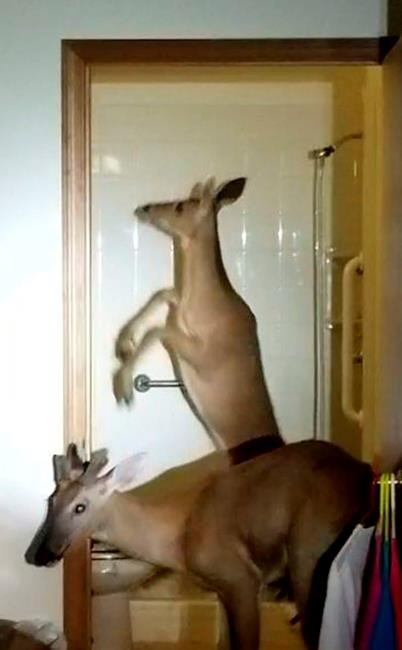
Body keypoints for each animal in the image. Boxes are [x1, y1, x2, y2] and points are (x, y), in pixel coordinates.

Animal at [25, 441, 374, 650]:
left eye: (80, 507)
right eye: (51, 500)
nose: (43, 554)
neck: (178, 536)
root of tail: (363, 471)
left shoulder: (241, 576)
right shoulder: (223, 588)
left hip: (310, 547)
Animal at [112, 177, 283, 451]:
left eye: (181, 206)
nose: (144, 208)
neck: (204, 306)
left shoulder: (202, 355)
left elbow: (156, 330)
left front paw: (123, 387)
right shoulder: (177, 305)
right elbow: (161, 294)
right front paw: (122, 344)